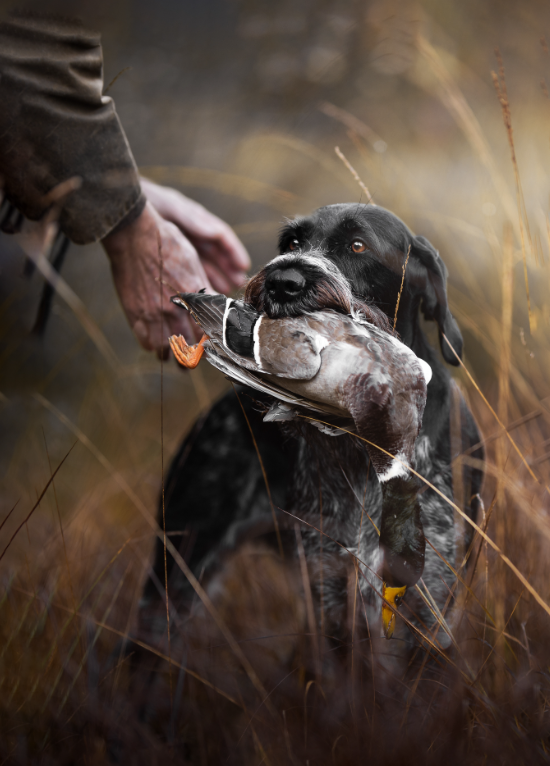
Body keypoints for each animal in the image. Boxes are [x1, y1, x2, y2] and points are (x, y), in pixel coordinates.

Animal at [141, 206, 484, 656]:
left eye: (358, 245)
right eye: (291, 243)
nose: (282, 281)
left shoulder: (432, 602)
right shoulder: (329, 590)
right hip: (178, 570)